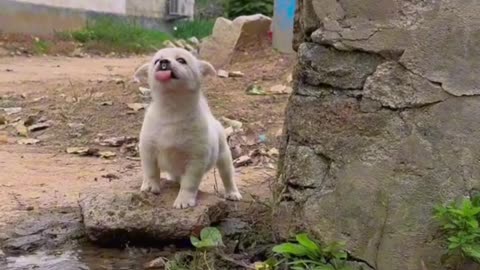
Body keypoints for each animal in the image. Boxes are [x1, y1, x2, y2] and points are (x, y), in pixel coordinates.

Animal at [134, 48, 240, 209]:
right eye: (157, 60)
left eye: (181, 60)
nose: (163, 62)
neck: (172, 110)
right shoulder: (148, 149)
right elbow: (151, 171)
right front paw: (151, 186)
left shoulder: (195, 160)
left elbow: (189, 184)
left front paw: (184, 200)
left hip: (223, 156)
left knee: (227, 176)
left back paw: (232, 193)